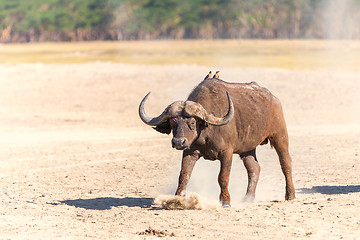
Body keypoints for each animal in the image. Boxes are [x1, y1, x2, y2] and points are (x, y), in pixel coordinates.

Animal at [139, 79, 296, 206]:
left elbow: (223, 177)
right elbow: (184, 175)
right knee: (254, 169)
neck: (206, 132)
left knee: (285, 163)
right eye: (172, 123)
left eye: (192, 122)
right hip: (248, 149)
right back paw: (248, 198)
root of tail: (274, 99)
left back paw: (290, 195)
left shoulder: (227, 153)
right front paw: (178, 199)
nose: (178, 142)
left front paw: (225, 201)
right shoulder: (189, 152)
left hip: (280, 135)